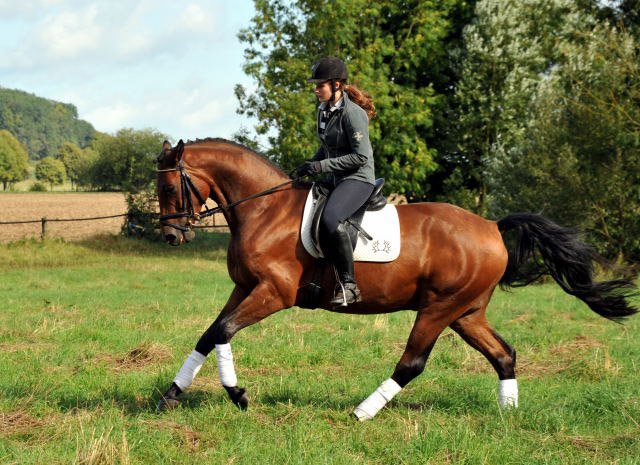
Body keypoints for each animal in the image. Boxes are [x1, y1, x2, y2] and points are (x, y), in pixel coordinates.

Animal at [154, 138, 636, 420]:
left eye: (170, 188)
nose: (171, 236)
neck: (264, 210)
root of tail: (492, 226)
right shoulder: (244, 288)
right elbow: (209, 333)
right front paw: (171, 395)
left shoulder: (273, 293)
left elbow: (223, 331)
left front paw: (238, 395)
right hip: (466, 313)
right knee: (503, 354)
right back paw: (508, 415)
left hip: (439, 308)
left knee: (412, 363)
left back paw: (362, 412)